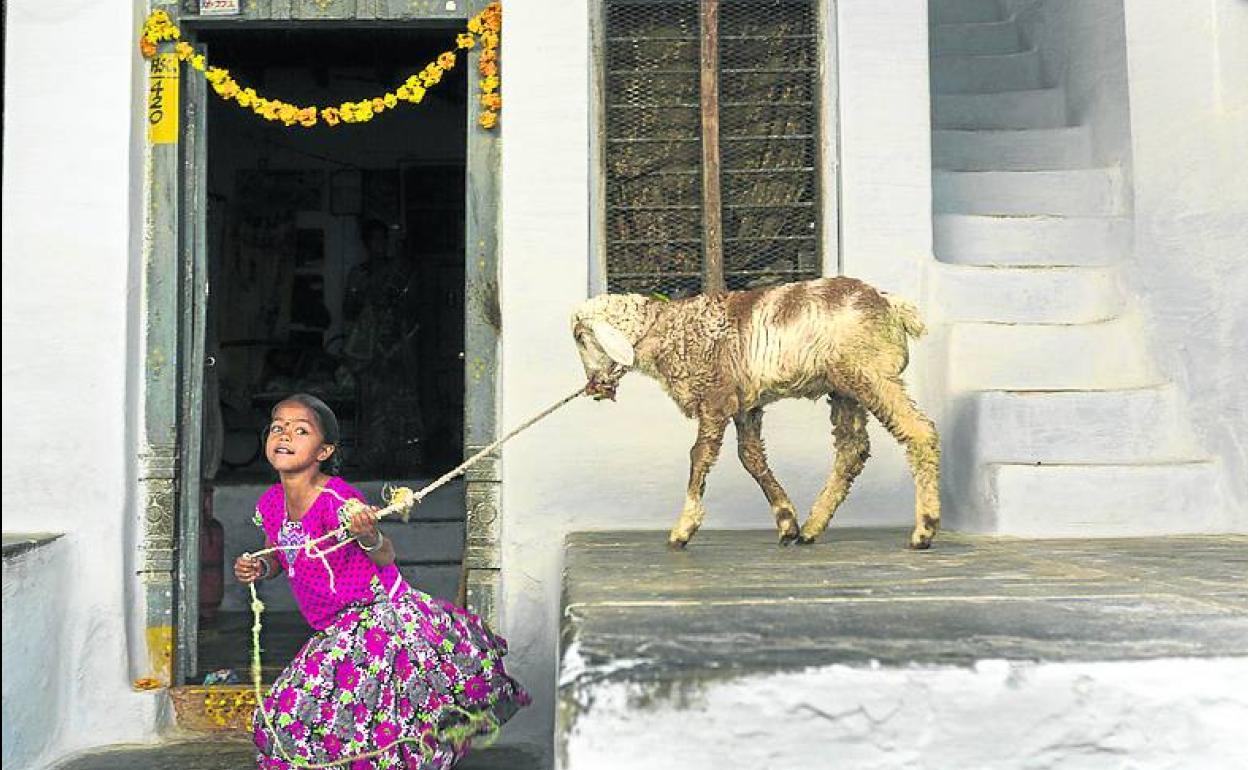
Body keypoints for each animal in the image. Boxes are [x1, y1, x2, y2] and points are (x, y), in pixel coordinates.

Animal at [571, 275, 938, 546]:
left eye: (579, 337)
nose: (593, 387)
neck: (670, 330)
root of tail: (892, 305)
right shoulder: (744, 405)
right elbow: (750, 457)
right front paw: (786, 520)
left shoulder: (715, 397)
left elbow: (699, 457)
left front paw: (683, 528)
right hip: (844, 386)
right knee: (853, 450)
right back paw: (811, 527)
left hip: (871, 374)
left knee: (919, 431)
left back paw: (925, 528)